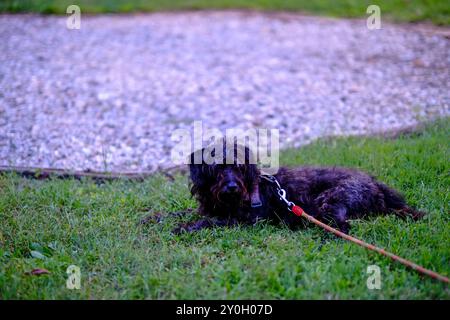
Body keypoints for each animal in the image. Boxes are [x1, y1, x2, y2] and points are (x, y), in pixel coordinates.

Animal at [173, 141, 426, 234]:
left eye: (238, 167)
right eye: (217, 169)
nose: (232, 187)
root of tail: (374, 184)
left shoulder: (248, 220)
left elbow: (212, 221)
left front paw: (185, 227)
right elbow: (181, 212)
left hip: (330, 200)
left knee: (343, 227)